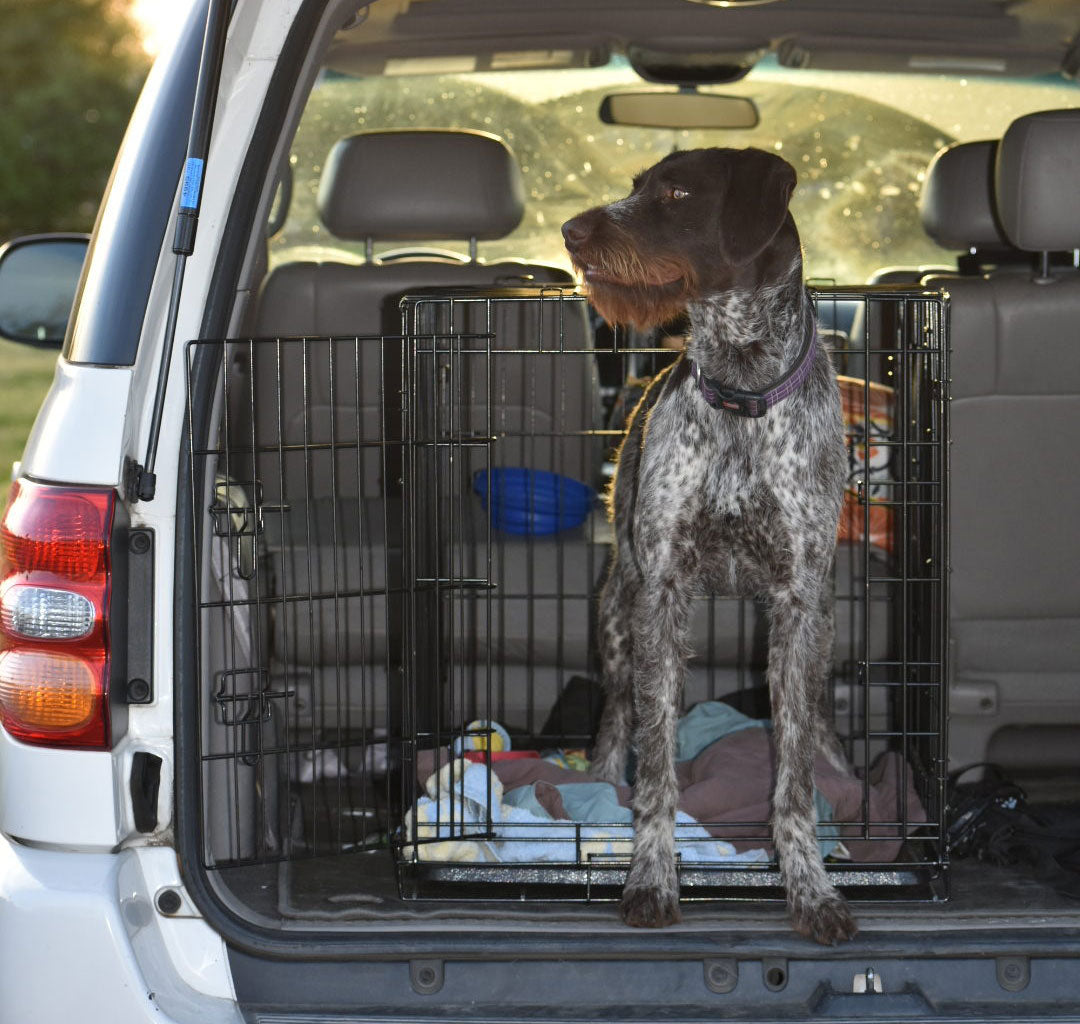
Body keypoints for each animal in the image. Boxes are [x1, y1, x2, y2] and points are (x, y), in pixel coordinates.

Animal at [561, 147, 855, 946]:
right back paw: (598, 779)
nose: (570, 230)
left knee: (817, 714)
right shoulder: (660, 594)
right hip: (618, 610)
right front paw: (651, 875)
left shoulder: (797, 604)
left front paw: (810, 886)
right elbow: (657, 766)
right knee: (617, 714)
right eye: (635, 187)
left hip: (823, 622)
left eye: (677, 193)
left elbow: (792, 775)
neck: (742, 386)